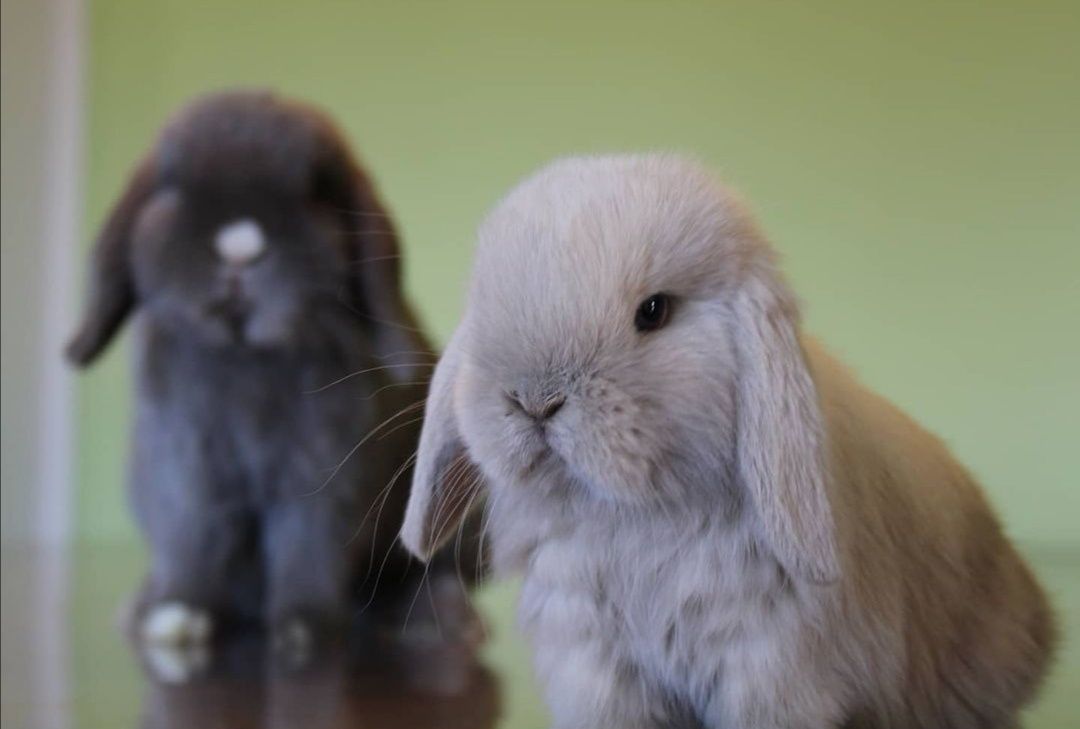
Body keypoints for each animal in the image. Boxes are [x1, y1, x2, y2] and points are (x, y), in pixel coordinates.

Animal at [69, 91, 483, 656]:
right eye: (171, 185)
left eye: (315, 191)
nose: (239, 245)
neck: (246, 358)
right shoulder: (184, 466)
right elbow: (191, 537)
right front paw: (178, 615)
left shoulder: (323, 471)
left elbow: (307, 541)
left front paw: (303, 627)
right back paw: (141, 608)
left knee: (424, 574)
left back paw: (437, 617)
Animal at [397, 155, 1054, 729]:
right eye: (484, 307)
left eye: (653, 311)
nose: (533, 400)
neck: (634, 520)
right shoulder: (592, 658)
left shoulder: (770, 665)